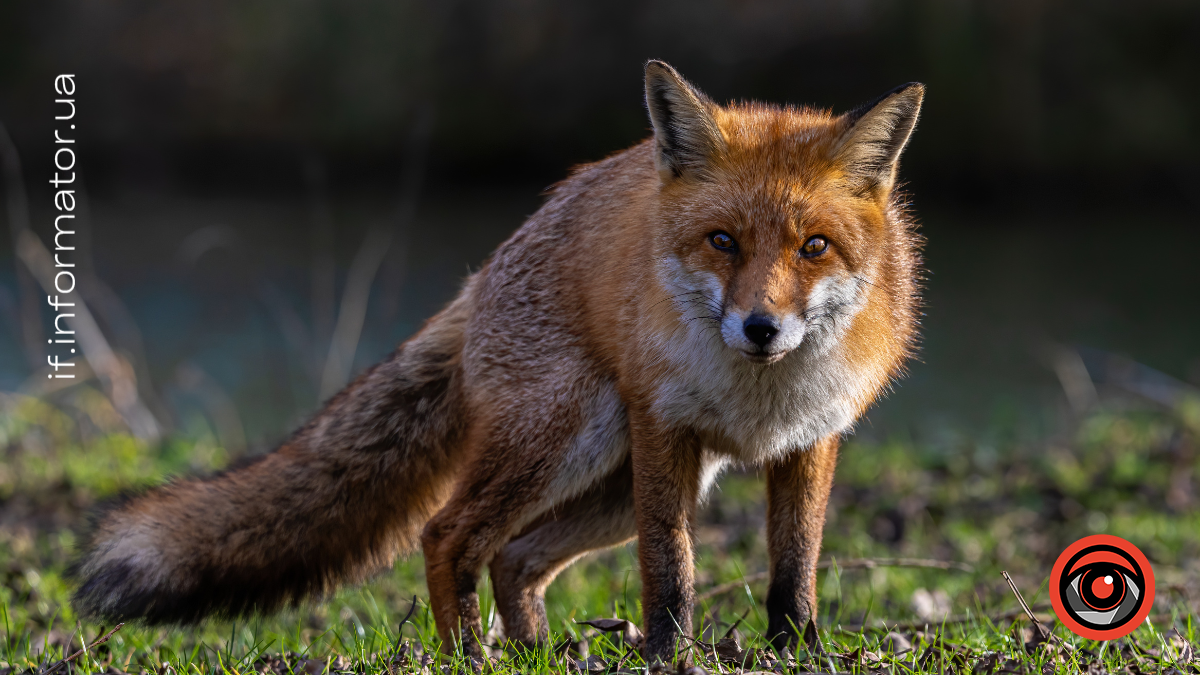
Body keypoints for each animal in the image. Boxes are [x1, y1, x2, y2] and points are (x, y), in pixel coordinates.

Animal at [72, 60, 916, 658]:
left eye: (814, 247)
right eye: (723, 241)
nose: (761, 327)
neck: (757, 398)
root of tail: (482, 274)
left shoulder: (810, 439)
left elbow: (794, 568)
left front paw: (796, 649)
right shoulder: (664, 430)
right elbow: (670, 570)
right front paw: (667, 656)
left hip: (612, 482)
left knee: (514, 555)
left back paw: (536, 651)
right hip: (574, 440)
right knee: (449, 534)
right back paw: (469, 655)